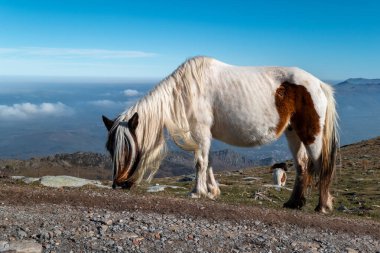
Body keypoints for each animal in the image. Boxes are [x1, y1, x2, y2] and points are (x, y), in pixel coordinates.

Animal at [101, 56, 338, 212]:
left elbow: (200, 162)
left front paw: (197, 192)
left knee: (321, 166)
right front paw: (212, 191)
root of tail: (319, 84)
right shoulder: (206, 135)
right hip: (293, 134)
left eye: (128, 148)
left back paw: (323, 205)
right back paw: (293, 203)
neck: (186, 90)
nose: (118, 184)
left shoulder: (200, 132)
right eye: (110, 148)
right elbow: (209, 161)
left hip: (311, 135)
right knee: (302, 166)